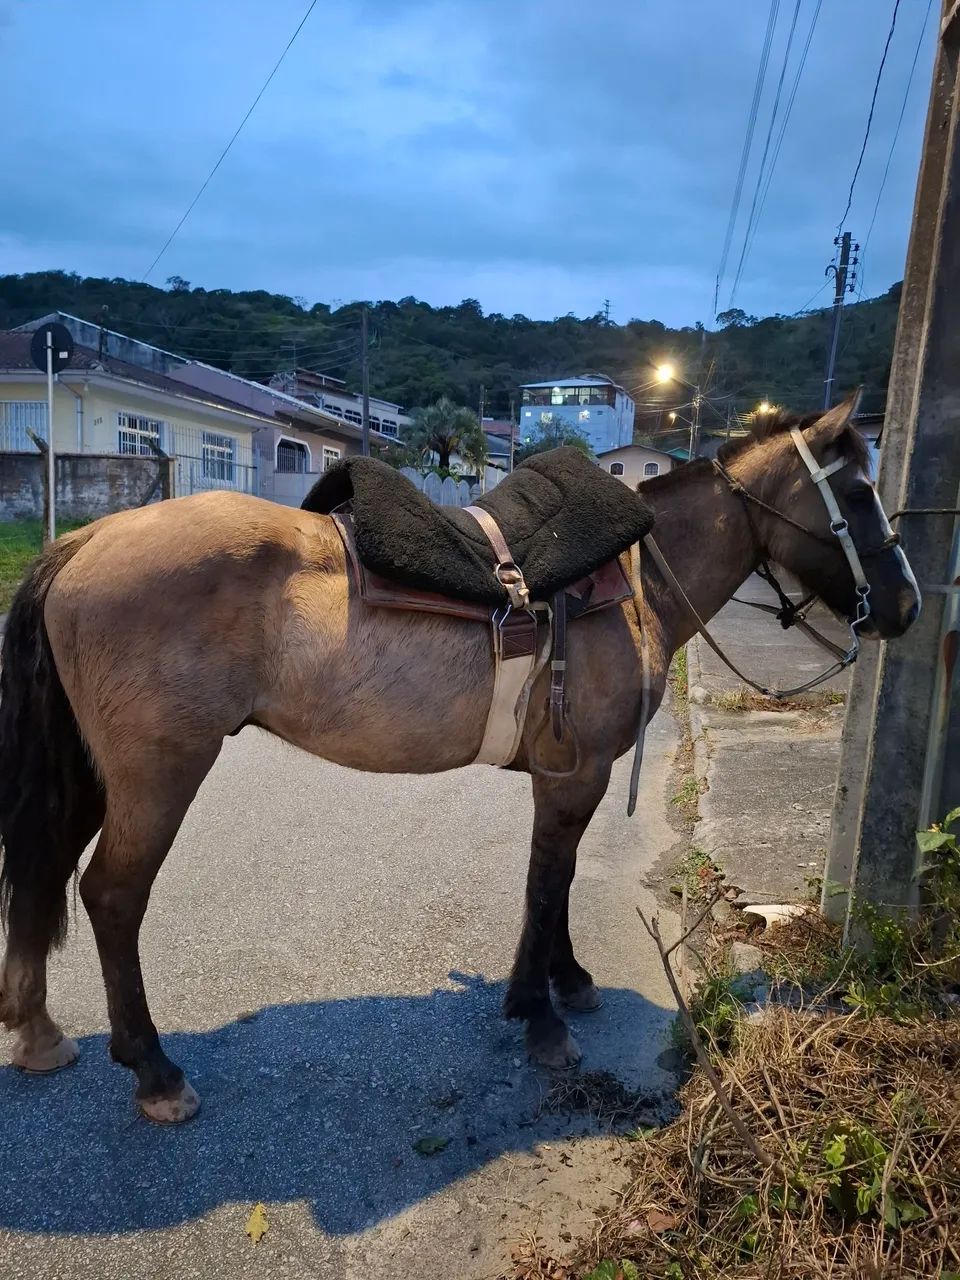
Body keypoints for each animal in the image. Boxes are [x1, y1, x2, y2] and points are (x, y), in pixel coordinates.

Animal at [0, 395, 919, 1124]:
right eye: (858, 492)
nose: (906, 606)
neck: (634, 587)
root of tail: (82, 543)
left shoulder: (563, 778)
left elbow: (559, 878)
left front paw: (565, 981)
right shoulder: (577, 775)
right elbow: (546, 884)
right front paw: (541, 1018)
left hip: (94, 776)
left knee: (45, 873)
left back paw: (38, 1032)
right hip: (159, 775)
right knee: (111, 896)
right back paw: (154, 1071)